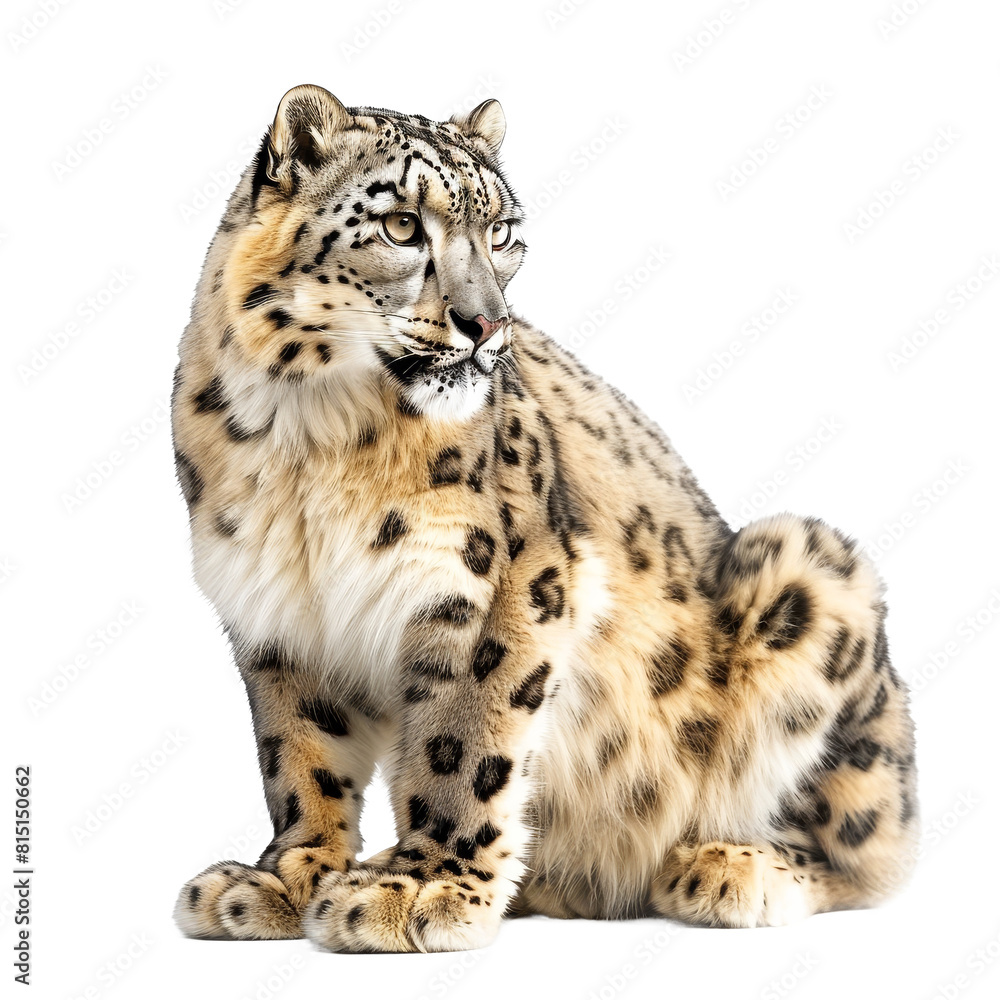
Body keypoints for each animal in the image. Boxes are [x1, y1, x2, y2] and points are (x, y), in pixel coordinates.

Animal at [170, 84, 918, 953]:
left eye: (501, 233)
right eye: (402, 225)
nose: (486, 323)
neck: (307, 433)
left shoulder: (500, 581)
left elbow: (463, 739)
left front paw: (419, 887)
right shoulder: (277, 612)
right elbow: (299, 755)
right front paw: (282, 878)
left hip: (815, 572)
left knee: (866, 850)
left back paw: (729, 866)